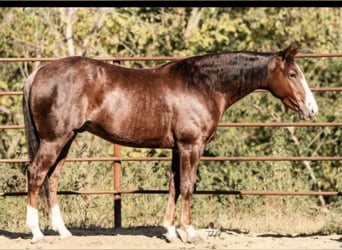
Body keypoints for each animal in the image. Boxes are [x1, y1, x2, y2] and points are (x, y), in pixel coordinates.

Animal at [23, 45, 318, 242]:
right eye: (293, 74)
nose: (312, 109)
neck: (203, 85)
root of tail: (38, 72)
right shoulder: (191, 146)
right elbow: (187, 186)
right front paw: (190, 232)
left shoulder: (178, 148)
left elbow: (174, 186)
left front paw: (170, 230)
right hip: (54, 139)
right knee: (36, 174)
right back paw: (37, 233)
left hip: (66, 139)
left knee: (52, 178)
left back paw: (63, 232)